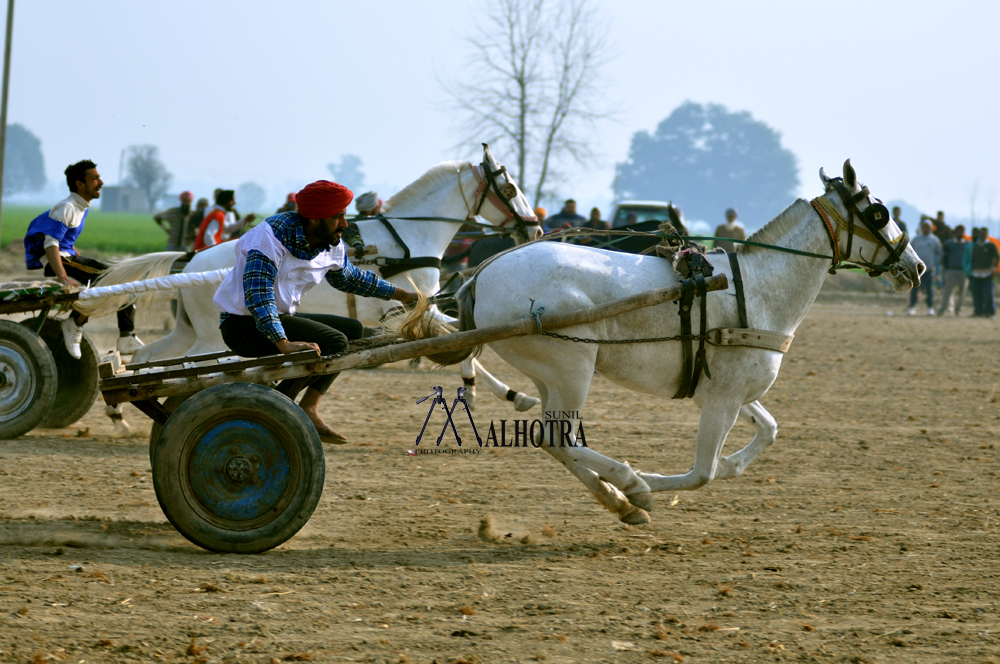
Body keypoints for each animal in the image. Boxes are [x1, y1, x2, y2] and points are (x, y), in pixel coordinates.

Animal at [412, 161, 920, 524]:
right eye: (879, 213)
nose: (916, 266)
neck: (757, 290)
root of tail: (480, 274)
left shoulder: (727, 393)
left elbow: (767, 432)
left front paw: (714, 470)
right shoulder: (721, 402)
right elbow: (702, 473)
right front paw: (648, 483)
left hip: (552, 376)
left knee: (554, 440)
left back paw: (619, 501)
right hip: (573, 369)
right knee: (558, 437)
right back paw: (628, 486)